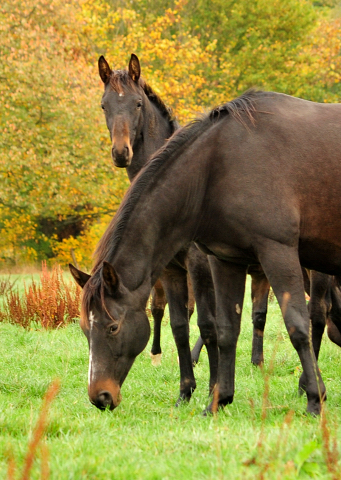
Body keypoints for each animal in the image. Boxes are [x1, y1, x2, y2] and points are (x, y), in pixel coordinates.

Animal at [69, 91, 341, 416]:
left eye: (112, 327)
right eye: (85, 329)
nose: (100, 396)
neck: (219, 164)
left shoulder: (278, 252)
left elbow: (297, 325)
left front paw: (315, 399)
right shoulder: (226, 260)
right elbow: (225, 330)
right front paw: (219, 400)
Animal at [95, 54, 218, 404]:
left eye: (137, 103)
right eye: (104, 105)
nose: (121, 153)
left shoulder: (198, 264)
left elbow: (205, 321)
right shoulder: (169, 269)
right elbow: (178, 323)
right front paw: (184, 391)